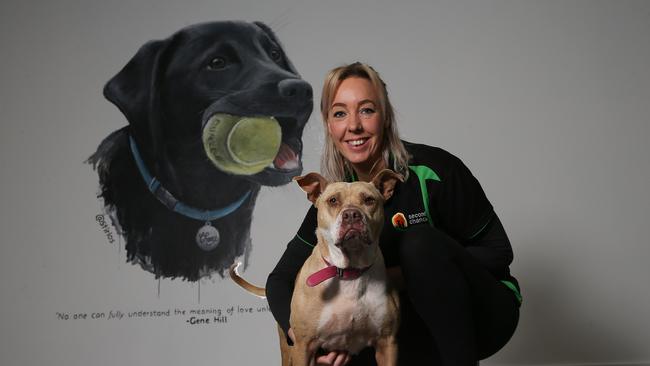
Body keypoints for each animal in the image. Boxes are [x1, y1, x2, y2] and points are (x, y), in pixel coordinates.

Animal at [228, 170, 400, 364]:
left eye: (369, 200)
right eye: (333, 200)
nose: (351, 214)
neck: (349, 271)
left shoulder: (387, 344)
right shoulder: (303, 346)